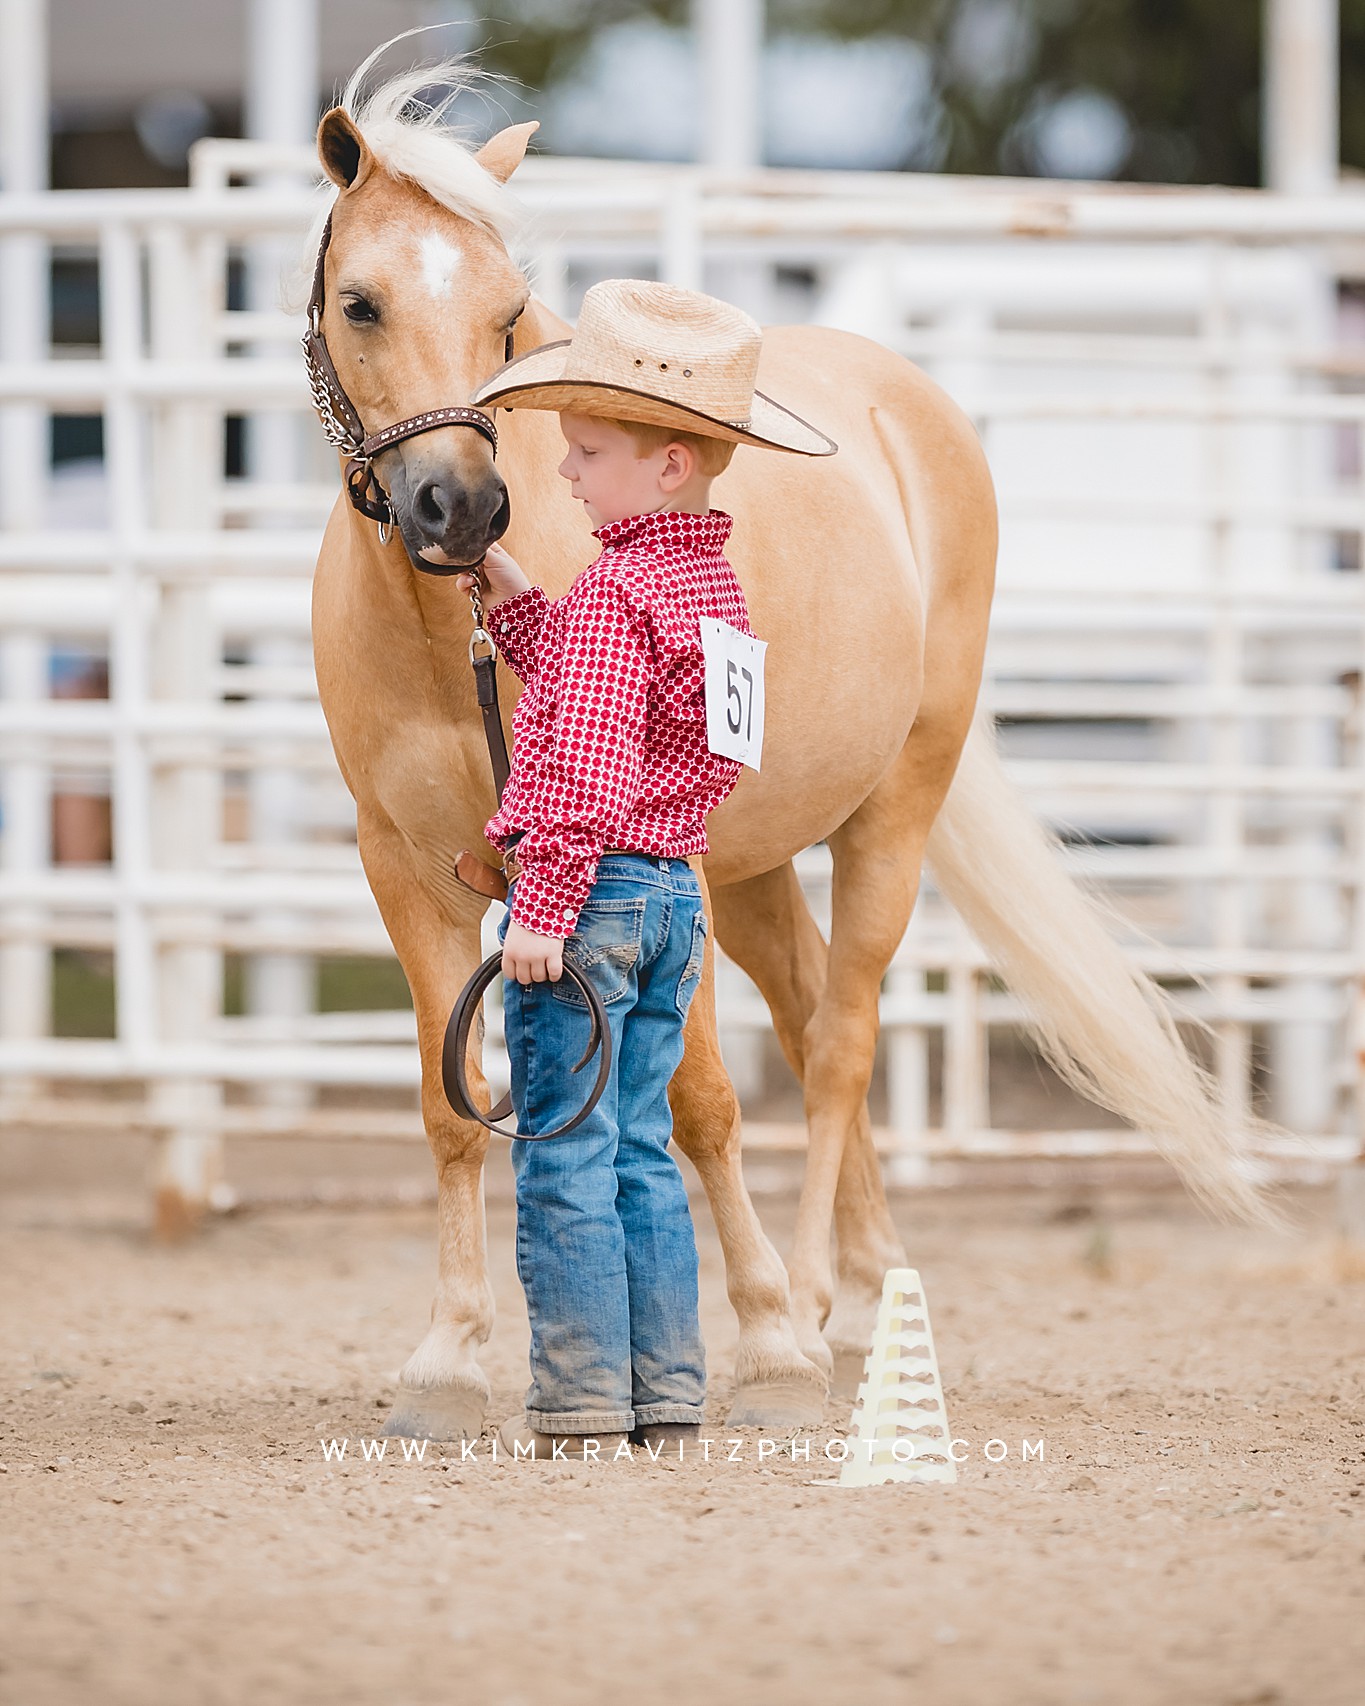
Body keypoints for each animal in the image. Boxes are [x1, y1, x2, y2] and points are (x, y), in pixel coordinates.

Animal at [303, 63, 1276, 1439]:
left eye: (506, 318)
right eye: (361, 301)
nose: (464, 509)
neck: (458, 646)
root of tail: (904, 397)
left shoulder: (656, 869)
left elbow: (703, 1103)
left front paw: (765, 1339)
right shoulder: (404, 868)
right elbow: (450, 1109)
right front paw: (444, 1363)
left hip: (890, 815)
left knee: (842, 1045)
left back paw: (817, 1306)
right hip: (759, 871)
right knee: (816, 1018)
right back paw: (866, 1295)